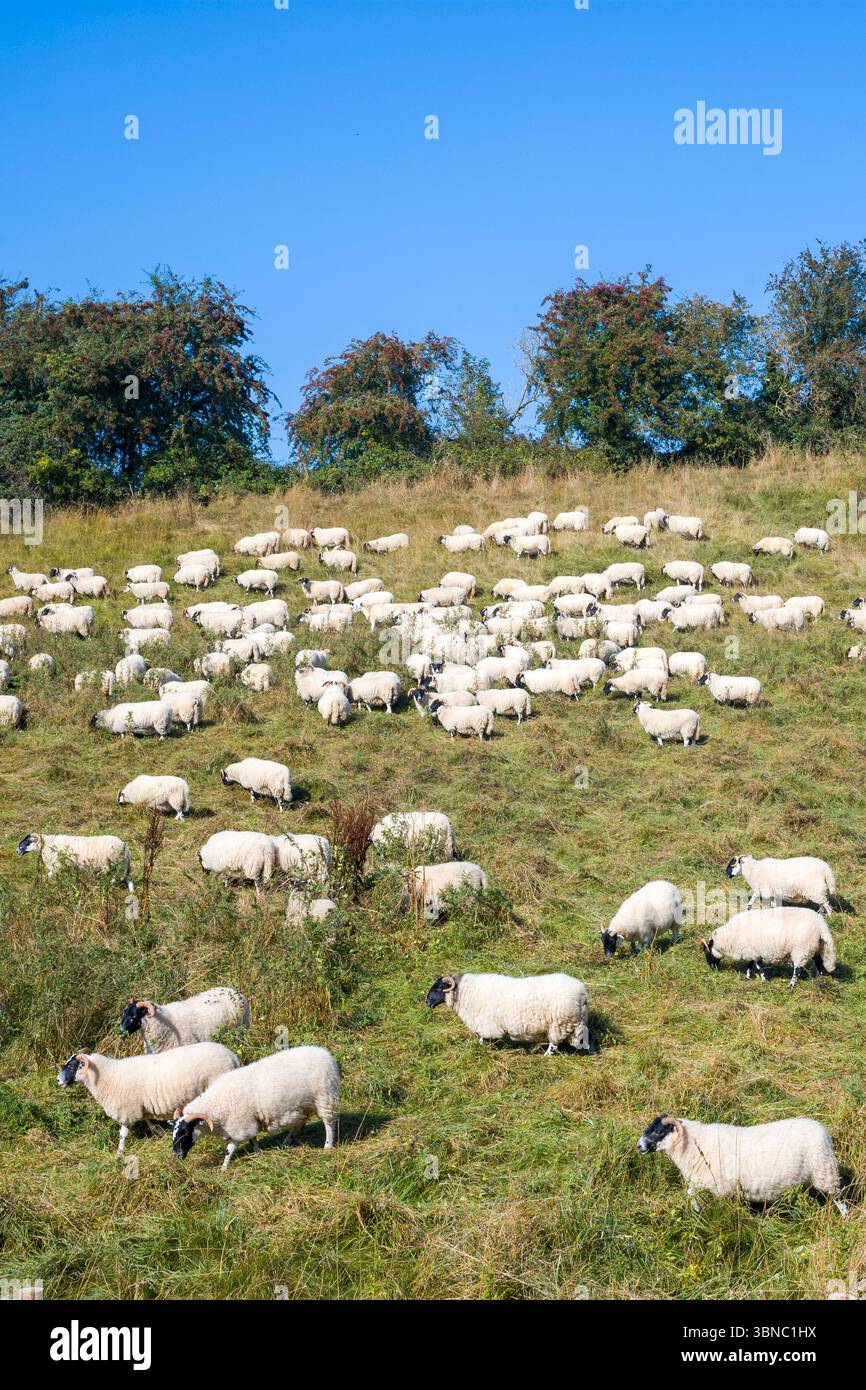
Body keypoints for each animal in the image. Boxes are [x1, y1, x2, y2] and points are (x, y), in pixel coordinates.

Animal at [58, 1043, 240, 1156]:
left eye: (72, 1066)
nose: (58, 1080)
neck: (106, 1076)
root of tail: (232, 1055)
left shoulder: (127, 1110)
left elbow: (123, 1135)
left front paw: (119, 1154)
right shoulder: (139, 1108)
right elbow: (148, 1122)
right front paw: (159, 1132)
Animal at [172, 1045, 339, 1169]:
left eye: (185, 1133)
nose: (177, 1156)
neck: (216, 1105)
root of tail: (326, 1054)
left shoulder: (240, 1125)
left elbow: (229, 1149)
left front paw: (223, 1168)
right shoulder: (248, 1122)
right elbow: (253, 1139)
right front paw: (257, 1154)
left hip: (325, 1097)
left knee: (329, 1123)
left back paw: (327, 1146)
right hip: (303, 1104)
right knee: (299, 1122)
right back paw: (286, 1142)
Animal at [426, 971, 590, 1053]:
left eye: (438, 987)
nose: (427, 1002)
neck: (465, 993)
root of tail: (582, 993)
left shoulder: (487, 1025)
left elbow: (483, 1039)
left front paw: (482, 1048)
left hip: (559, 1024)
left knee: (554, 1043)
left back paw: (546, 1055)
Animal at [636, 1114, 847, 1214]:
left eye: (658, 1132)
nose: (639, 1146)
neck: (695, 1145)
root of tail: (824, 1132)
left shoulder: (720, 1187)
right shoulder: (701, 1181)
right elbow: (690, 1193)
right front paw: (696, 1209)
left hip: (825, 1172)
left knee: (839, 1199)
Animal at [701, 906, 836, 986]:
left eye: (707, 952)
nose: (712, 969)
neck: (728, 938)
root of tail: (821, 926)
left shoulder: (754, 951)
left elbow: (758, 966)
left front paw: (764, 980)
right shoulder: (752, 951)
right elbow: (750, 964)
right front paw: (748, 977)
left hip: (801, 948)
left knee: (797, 968)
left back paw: (791, 985)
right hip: (817, 946)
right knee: (818, 962)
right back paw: (820, 979)